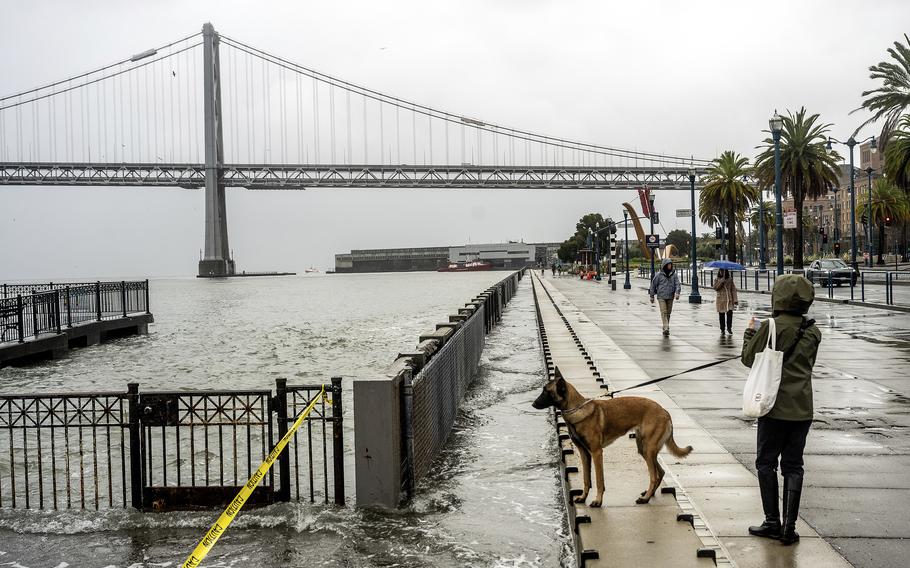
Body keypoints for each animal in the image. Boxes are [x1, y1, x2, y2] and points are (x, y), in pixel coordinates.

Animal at [532, 372, 696, 506]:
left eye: (546, 391)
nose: (533, 404)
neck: (577, 409)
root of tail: (665, 411)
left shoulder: (597, 453)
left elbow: (599, 481)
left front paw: (598, 501)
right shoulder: (584, 454)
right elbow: (586, 479)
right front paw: (583, 497)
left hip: (648, 449)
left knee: (654, 476)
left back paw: (645, 499)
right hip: (644, 449)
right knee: (659, 472)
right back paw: (649, 495)